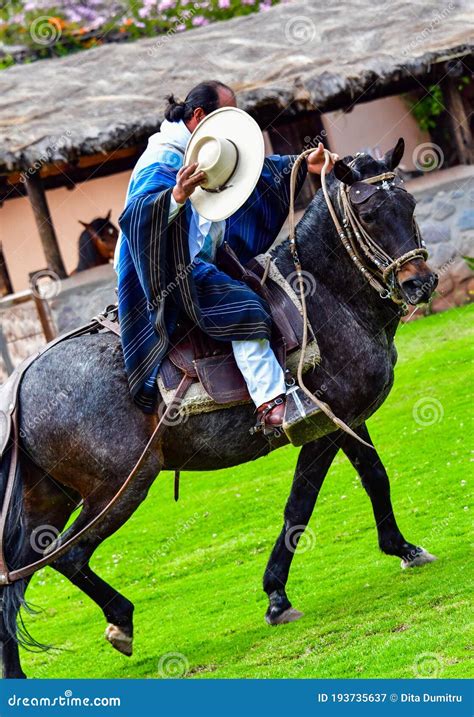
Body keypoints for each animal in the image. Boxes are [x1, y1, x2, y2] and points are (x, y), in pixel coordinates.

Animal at [1, 139, 439, 678]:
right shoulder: (322, 427)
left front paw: (403, 548)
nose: (420, 283)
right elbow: (301, 503)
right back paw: (120, 619)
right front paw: (276, 596)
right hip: (120, 486)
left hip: (48, 500)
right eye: (369, 213)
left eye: (409, 204)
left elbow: (375, 476)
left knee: (14, 583)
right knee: (68, 558)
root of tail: (21, 380)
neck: (326, 300)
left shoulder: (348, 418)